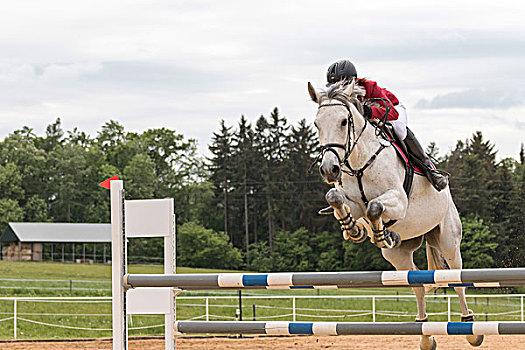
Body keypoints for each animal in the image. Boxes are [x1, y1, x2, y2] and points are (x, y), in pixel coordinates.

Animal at [308, 80, 484, 350]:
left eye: (344, 122)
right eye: (317, 124)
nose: (330, 169)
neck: (359, 163)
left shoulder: (398, 201)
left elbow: (374, 207)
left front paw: (379, 233)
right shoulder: (353, 203)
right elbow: (336, 198)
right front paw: (355, 230)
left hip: (448, 241)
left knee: (457, 279)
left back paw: (470, 327)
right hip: (398, 256)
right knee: (418, 284)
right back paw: (425, 335)